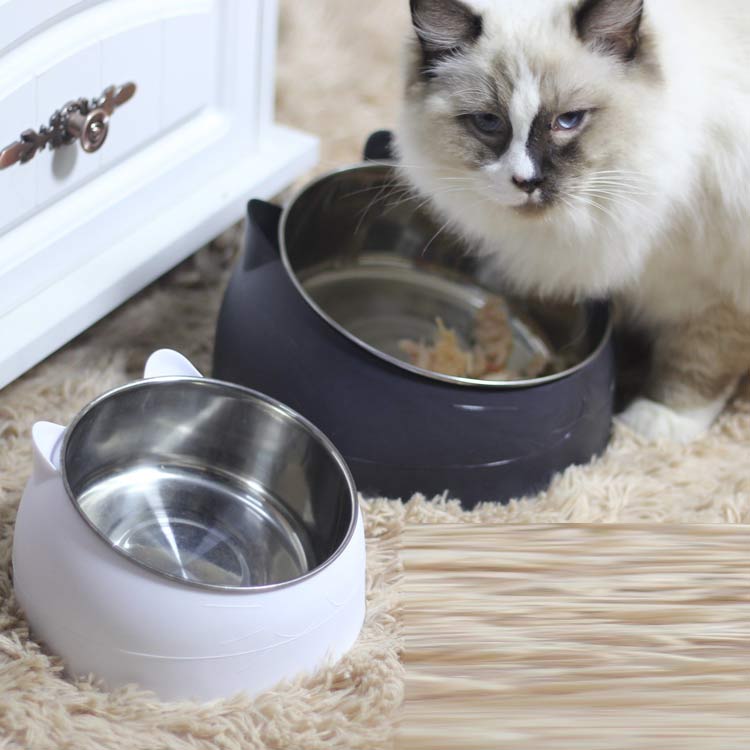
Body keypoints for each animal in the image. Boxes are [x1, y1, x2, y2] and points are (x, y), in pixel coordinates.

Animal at [396, 0, 750, 443]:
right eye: (489, 123)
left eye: (568, 121)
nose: (527, 181)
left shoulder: (720, 281)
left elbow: (702, 360)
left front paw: (659, 423)